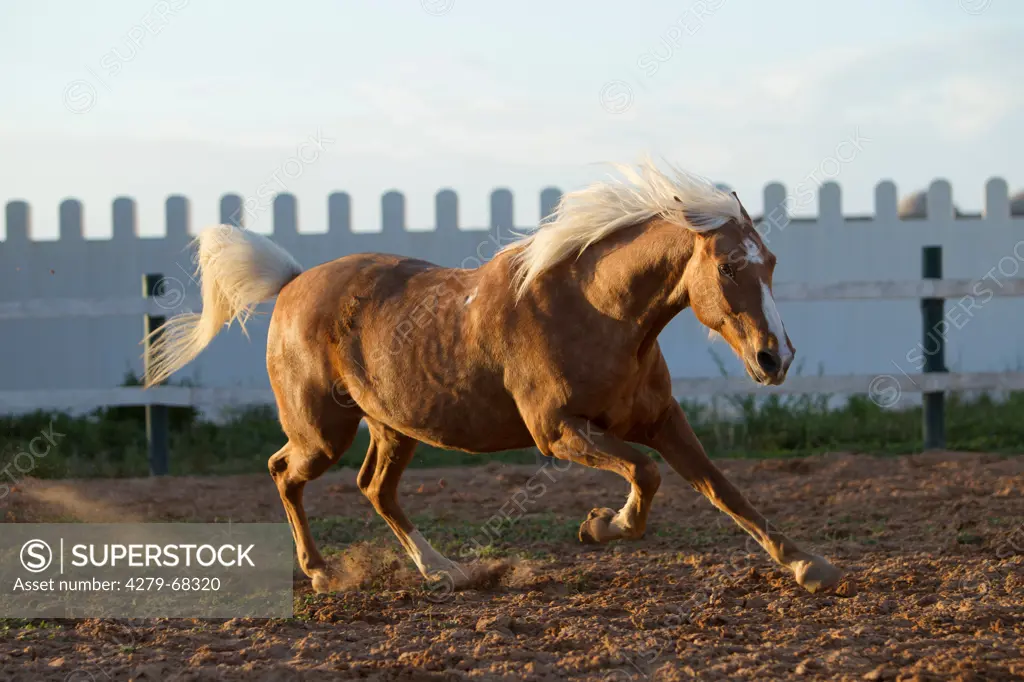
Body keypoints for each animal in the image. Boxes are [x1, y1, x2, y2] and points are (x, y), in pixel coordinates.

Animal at [146, 161, 847, 593]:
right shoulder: (558, 432)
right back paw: (321, 573)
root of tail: (292, 284)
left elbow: (723, 490)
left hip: (394, 427)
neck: (596, 312)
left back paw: (446, 572)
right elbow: (645, 475)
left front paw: (809, 565)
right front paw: (602, 525)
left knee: (375, 489)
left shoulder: (660, 419)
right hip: (323, 431)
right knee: (283, 472)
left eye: (771, 262)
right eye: (728, 267)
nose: (776, 358)